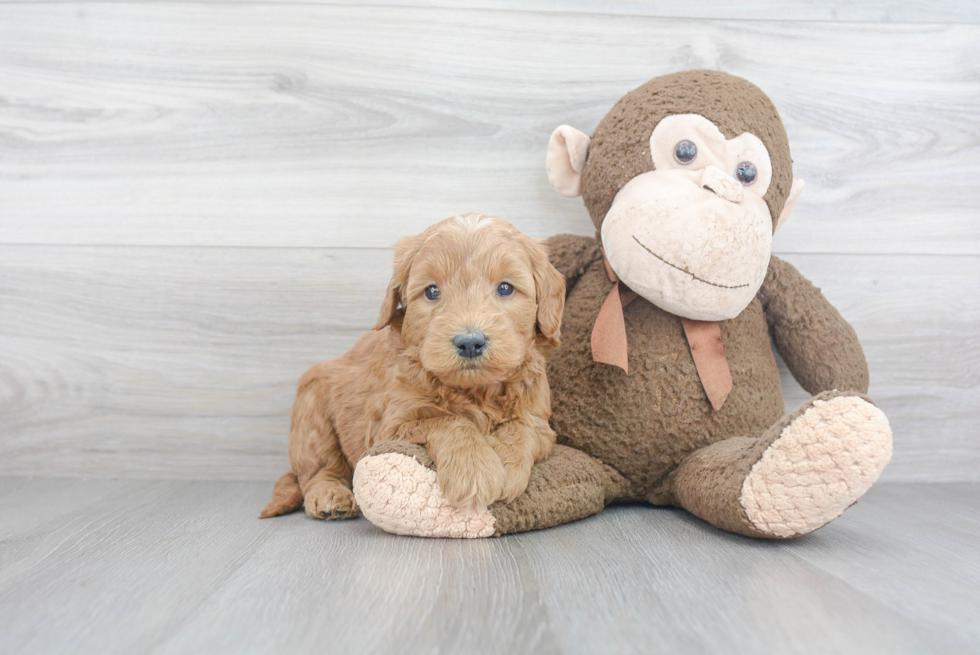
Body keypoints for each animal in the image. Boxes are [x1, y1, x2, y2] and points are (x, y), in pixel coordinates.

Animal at [260, 215, 568, 524]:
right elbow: (446, 421)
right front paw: (474, 470)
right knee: (318, 470)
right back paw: (330, 497)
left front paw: (507, 465)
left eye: (505, 288)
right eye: (432, 291)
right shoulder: (390, 426)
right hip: (312, 411)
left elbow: (522, 427)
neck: (474, 391)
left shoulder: (540, 420)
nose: (470, 342)